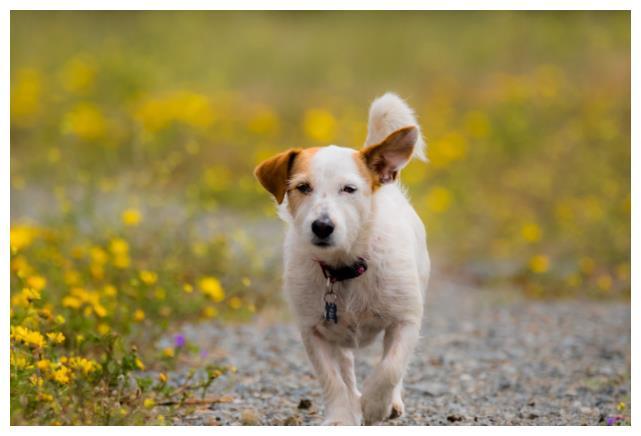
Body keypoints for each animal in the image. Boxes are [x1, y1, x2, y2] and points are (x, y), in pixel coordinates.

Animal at [252, 93, 428, 426]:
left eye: (349, 189)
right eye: (302, 187)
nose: (322, 226)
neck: (345, 266)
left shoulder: (406, 320)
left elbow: (390, 368)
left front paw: (375, 404)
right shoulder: (314, 332)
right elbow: (332, 379)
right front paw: (341, 416)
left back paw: (388, 402)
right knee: (346, 369)